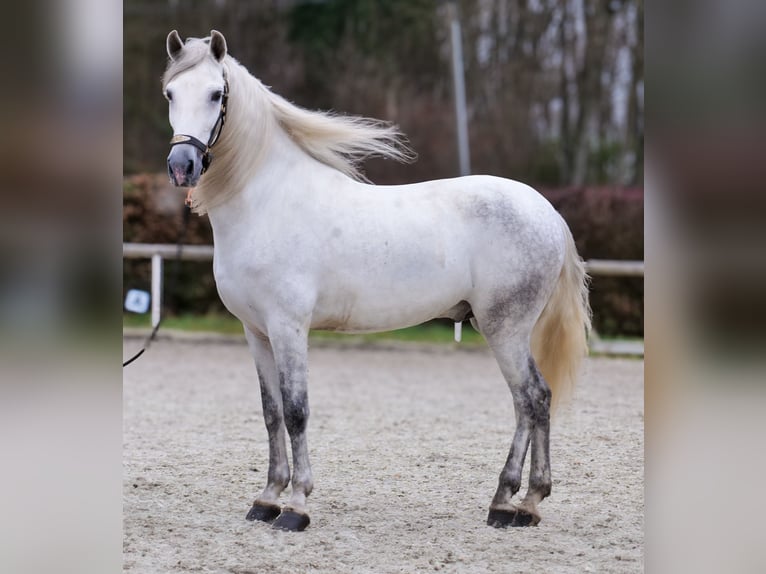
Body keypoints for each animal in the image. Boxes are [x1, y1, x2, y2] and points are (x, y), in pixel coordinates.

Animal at [162, 30, 591, 532]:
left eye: (216, 94)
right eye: (170, 94)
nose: (182, 165)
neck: (268, 200)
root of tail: (547, 213)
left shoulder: (289, 328)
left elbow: (296, 410)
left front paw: (297, 506)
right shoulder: (256, 331)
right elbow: (271, 413)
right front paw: (267, 499)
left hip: (506, 329)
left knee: (531, 399)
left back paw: (512, 502)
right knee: (532, 402)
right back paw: (522, 504)